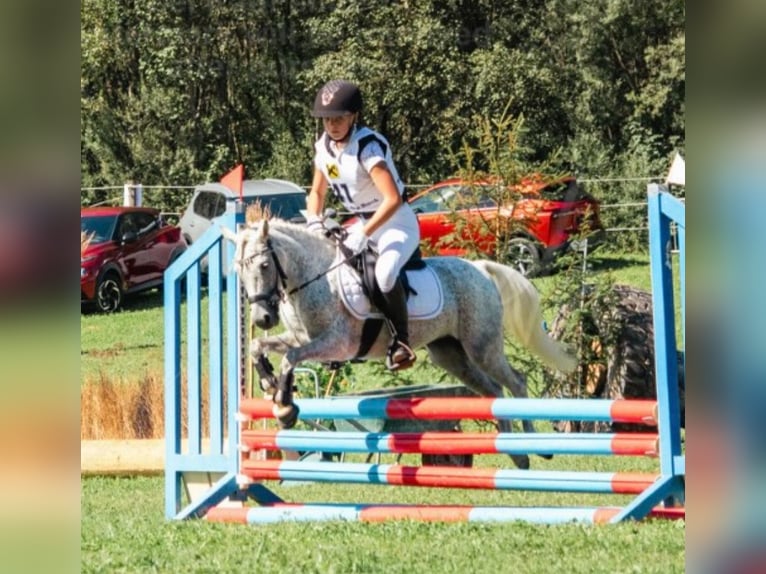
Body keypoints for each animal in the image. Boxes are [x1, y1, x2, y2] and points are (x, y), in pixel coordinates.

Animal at [222, 218, 576, 470]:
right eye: (238, 269)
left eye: (264, 265)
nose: (261, 318)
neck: (315, 280)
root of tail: (479, 268)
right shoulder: (298, 337)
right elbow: (261, 348)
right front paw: (269, 384)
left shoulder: (336, 343)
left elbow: (290, 358)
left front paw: (284, 407)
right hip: (451, 355)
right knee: (493, 390)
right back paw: (518, 455)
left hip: (482, 347)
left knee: (516, 381)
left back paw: (533, 446)